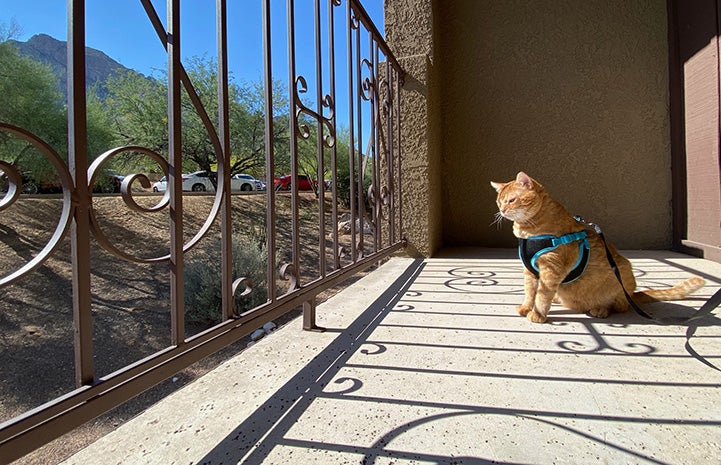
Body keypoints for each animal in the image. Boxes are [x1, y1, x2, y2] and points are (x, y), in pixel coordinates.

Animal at [490, 170, 704, 322]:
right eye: (499, 202)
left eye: (511, 200)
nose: (502, 210)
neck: (528, 233)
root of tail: (632, 294)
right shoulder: (530, 271)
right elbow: (530, 292)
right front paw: (526, 307)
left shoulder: (551, 269)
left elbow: (542, 295)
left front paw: (537, 314)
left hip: (621, 276)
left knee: (619, 306)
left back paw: (600, 309)